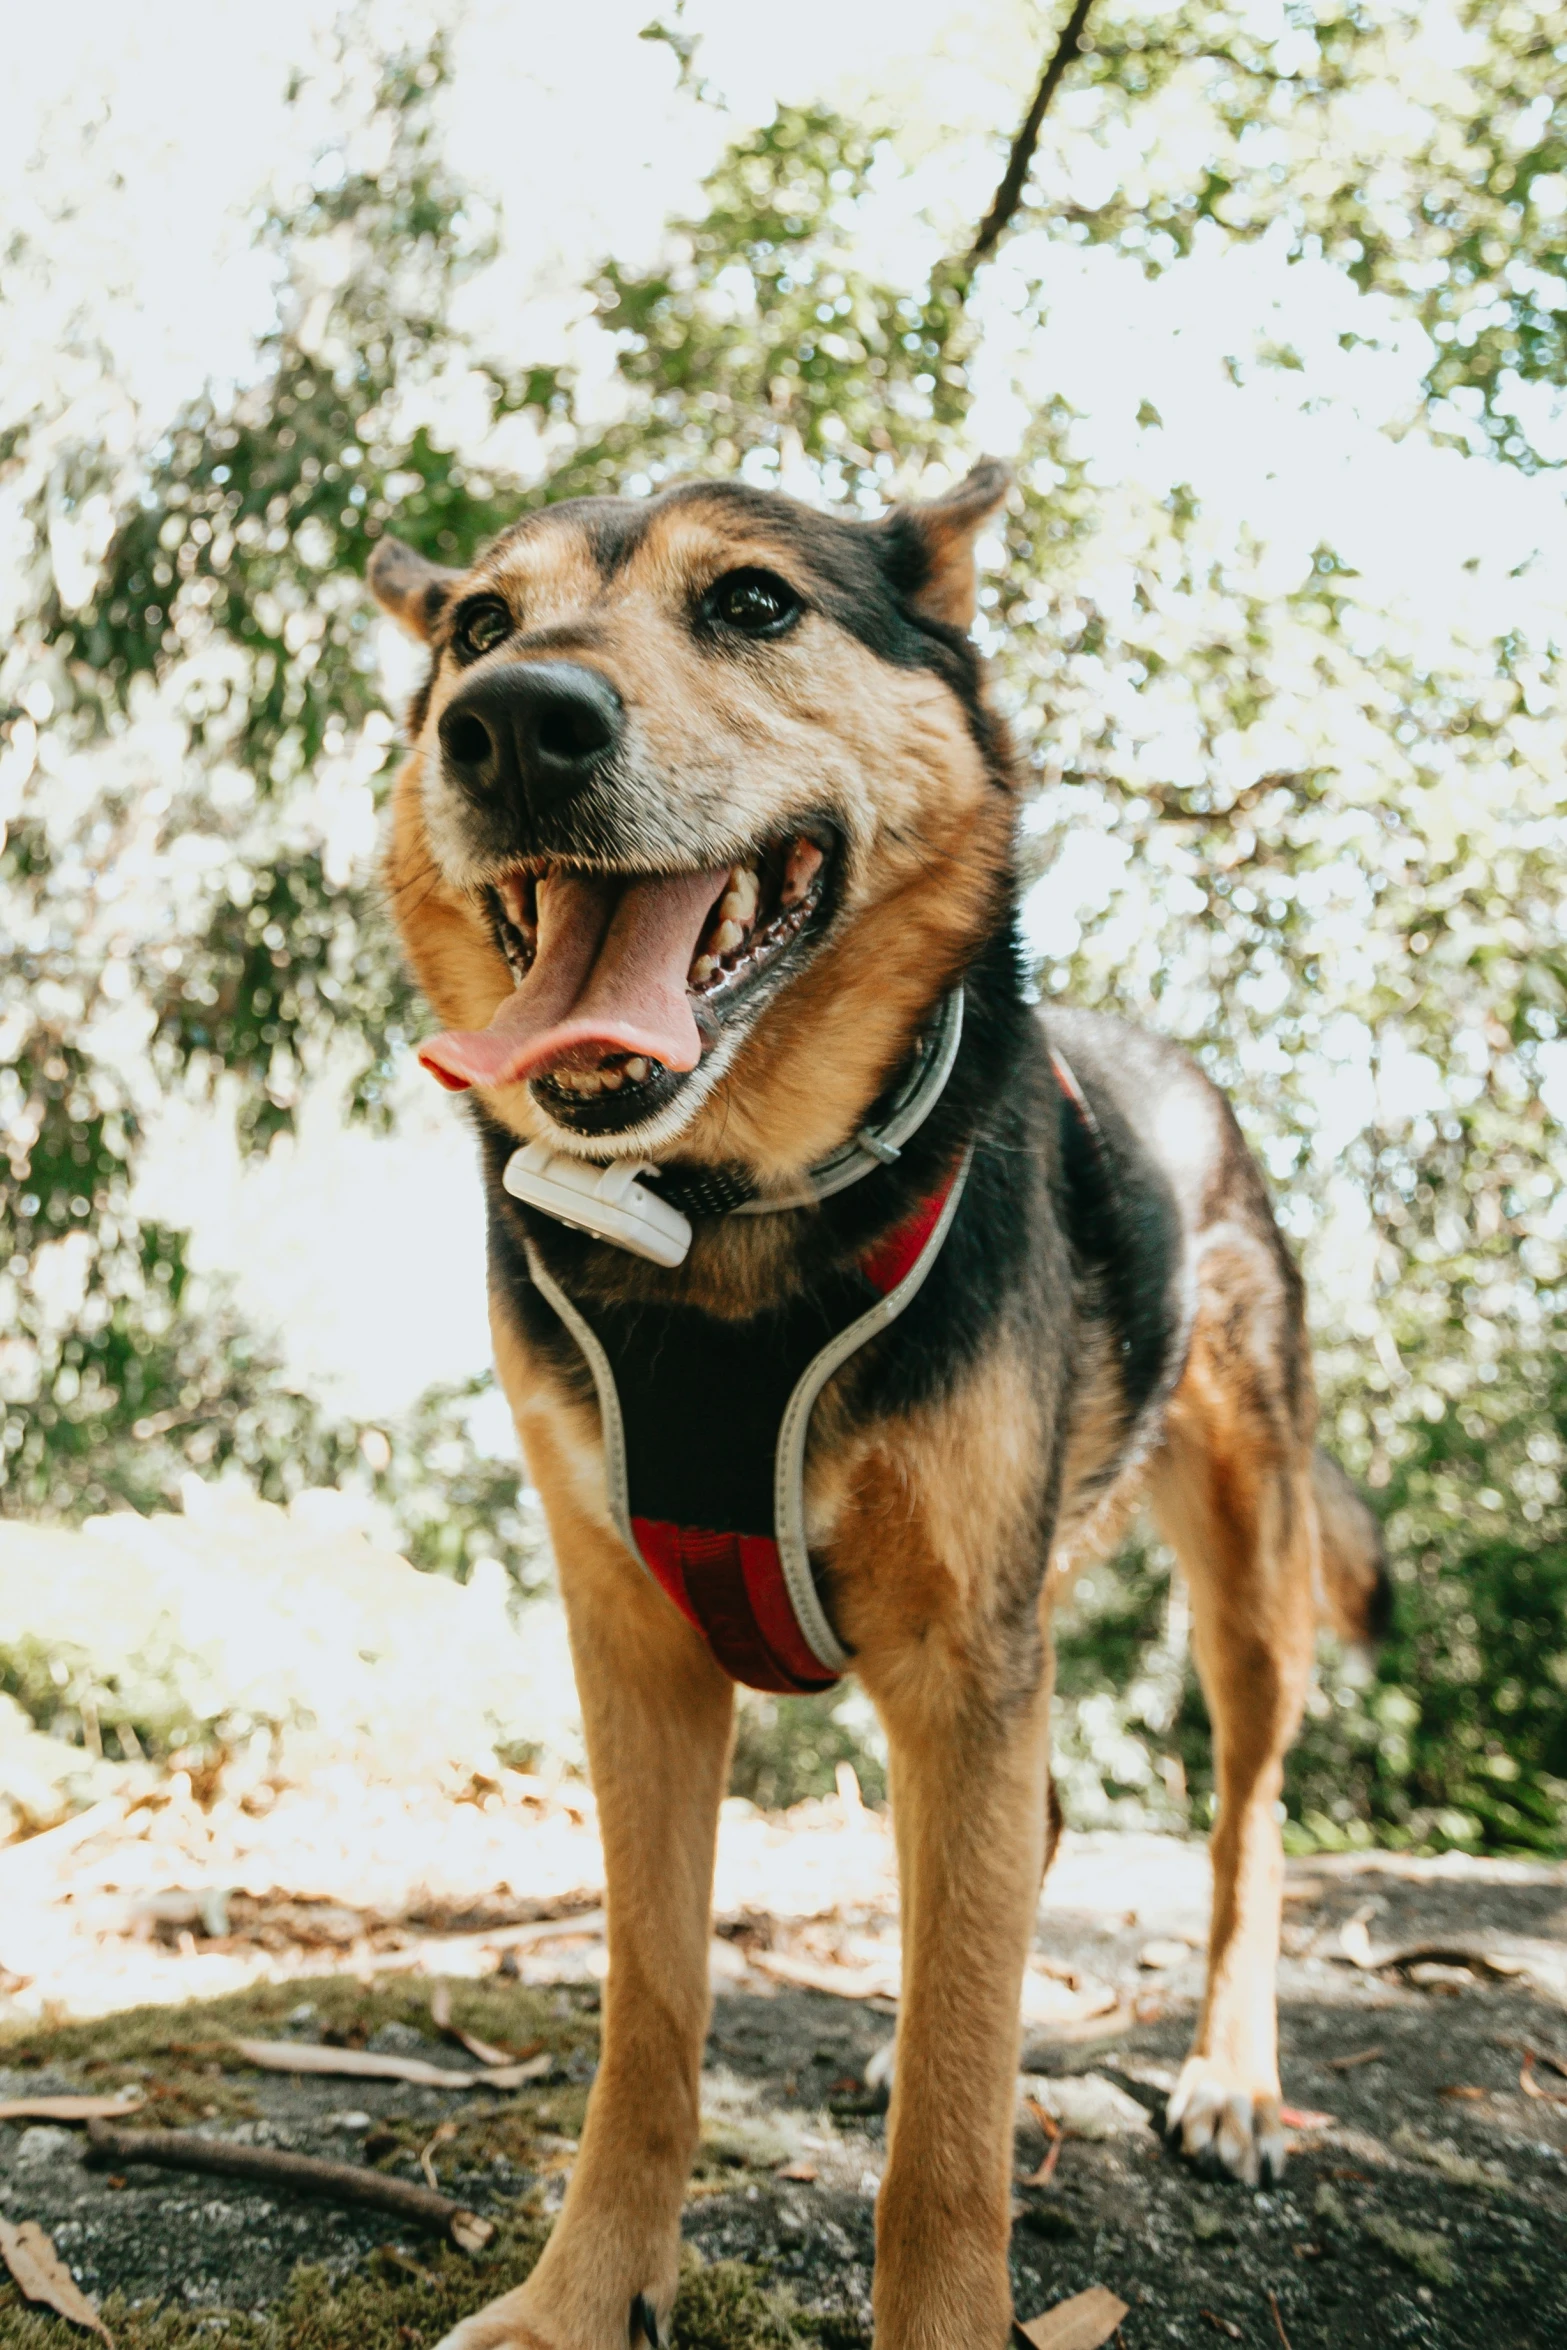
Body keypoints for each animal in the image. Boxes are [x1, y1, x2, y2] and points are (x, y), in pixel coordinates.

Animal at [368, 462, 1381, 2350]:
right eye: (477, 622)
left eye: (754, 603)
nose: (514, 723)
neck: (710, 1217)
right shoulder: (634, 1645)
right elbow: (651, 2019)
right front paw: (579, 2294)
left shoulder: (964, 1656)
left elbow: (958, 2128)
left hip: (1237, 1566)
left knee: (1245, 1821)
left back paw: (1229, 2076)